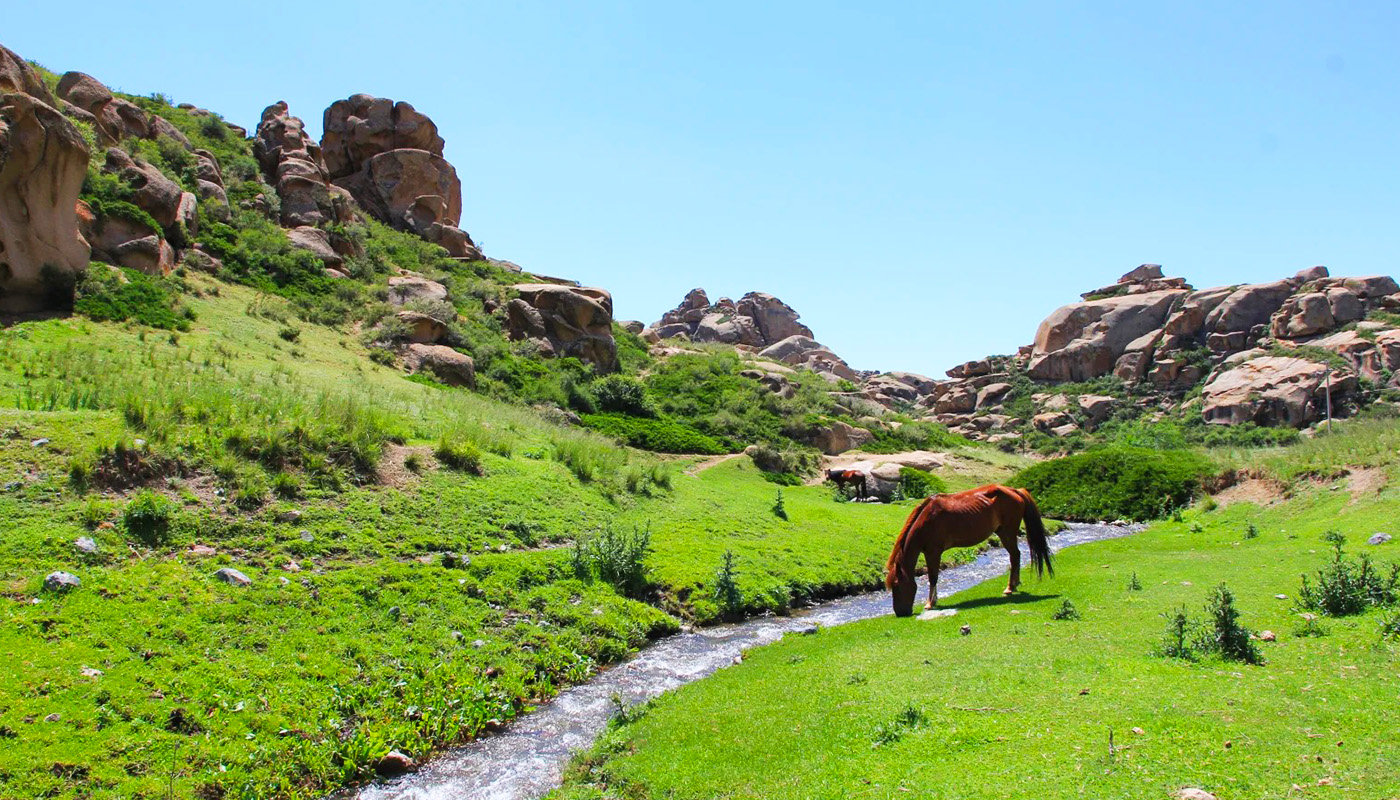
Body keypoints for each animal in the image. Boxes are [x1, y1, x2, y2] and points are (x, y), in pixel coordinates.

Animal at [885, 484, 1053, 617]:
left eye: (896, 585)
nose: (900, 613)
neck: (927, 520)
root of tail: (1015, 490)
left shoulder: (933, 552)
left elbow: (933, 577)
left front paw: (930, 603)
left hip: (1008, 532)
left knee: (1015, 555)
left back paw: (1010, 588)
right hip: (1002, 532)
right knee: (1015, 555)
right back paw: (1014, 584)